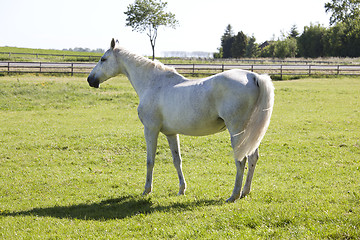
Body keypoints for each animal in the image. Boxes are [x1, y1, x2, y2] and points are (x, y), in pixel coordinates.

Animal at [88, 39, 274, 202]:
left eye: (103, 59)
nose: (90, 80)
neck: (153, 83)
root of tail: (253, 76)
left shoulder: (150, 130)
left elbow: (150, 161)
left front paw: (147, 190)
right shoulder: (171, 134)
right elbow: (177, 161)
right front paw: (181, 190)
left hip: (237, 131)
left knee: (241, 160)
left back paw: (233, 195)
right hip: (250, 133)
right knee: (252, 158)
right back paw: (244, 192)